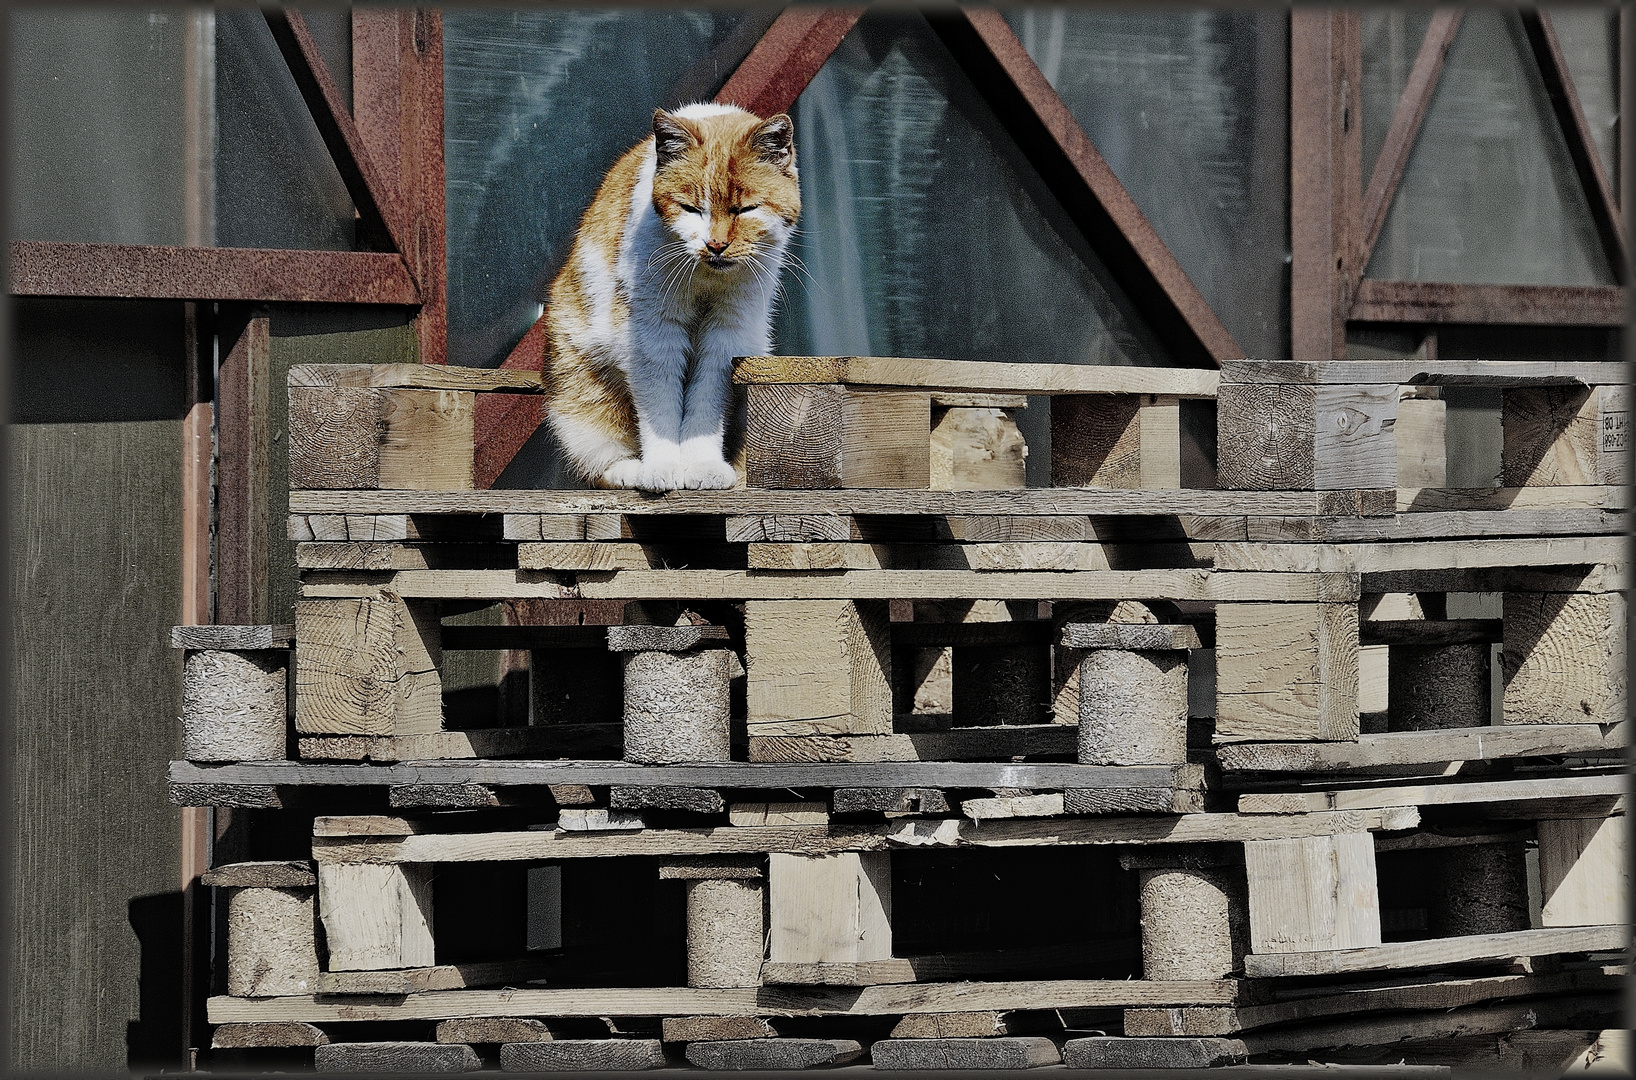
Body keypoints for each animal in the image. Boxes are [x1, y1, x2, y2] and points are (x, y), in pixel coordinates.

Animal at [546, 103, 801, 490]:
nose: (715, 245)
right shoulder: (653, 335)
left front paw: (703, 467)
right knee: (600, 456)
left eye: (745, 210)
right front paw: (662, 468)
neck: (706, 278)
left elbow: (706, 405)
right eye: (691, 208)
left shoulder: (727, 335)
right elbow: (660, 406)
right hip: (579, 386)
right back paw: (631, 470)